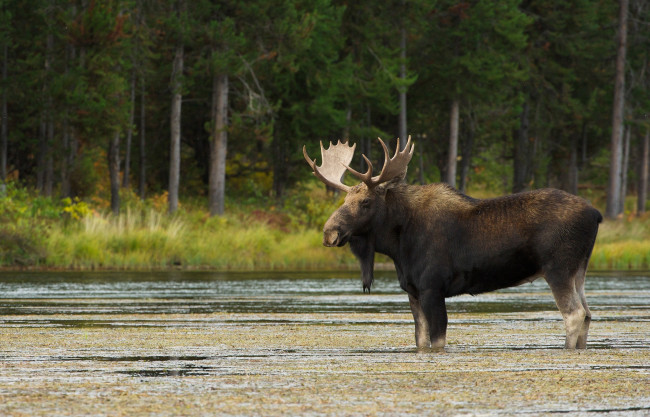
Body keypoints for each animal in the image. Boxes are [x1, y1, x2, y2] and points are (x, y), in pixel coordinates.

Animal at [304, 136, 604, 348]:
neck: (398, 246)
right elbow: (421, 340)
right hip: (579, 270)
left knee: (574, 314)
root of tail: (596, 214)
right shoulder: (413, 291)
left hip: (558, 268)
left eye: (365, 202)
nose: (329, 232)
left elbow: (438, 341)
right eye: (345, 200)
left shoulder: (432, 288)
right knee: (588, 313)